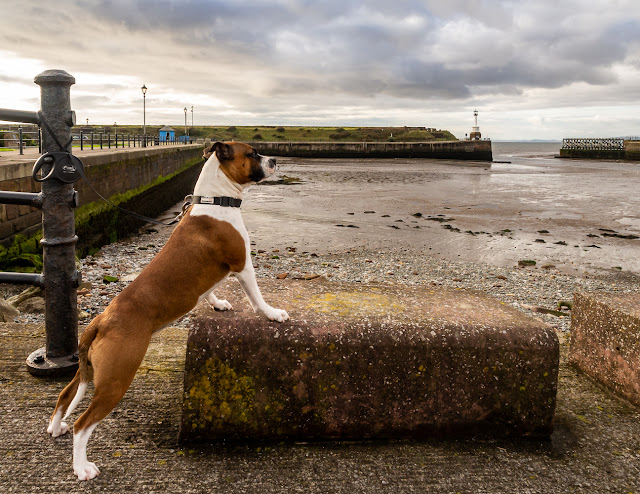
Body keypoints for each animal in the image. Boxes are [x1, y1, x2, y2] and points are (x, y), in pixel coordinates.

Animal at [47, 141, 290, 480]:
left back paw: (56, 427)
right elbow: (256, 295)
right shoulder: (242, 264)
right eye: (253, 154)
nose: (275, 159)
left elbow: (208, 291)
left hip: (89, 371)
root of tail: (103, 319)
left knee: (65, 395)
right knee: (83, 425)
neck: (216, 200)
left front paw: (217, 303)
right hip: (115, 380)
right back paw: (82, 467)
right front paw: (271, 313)